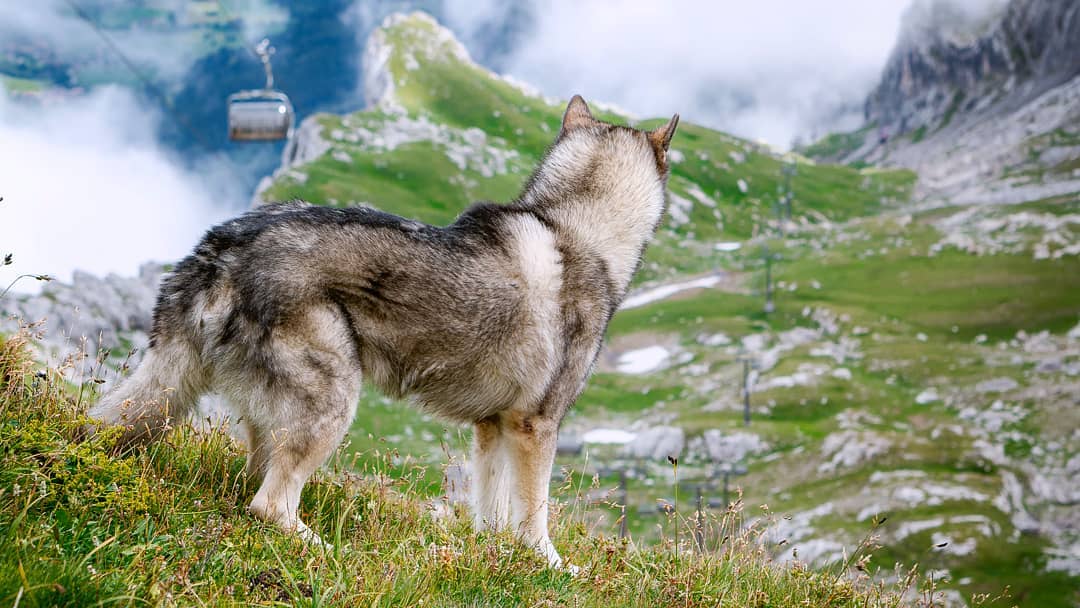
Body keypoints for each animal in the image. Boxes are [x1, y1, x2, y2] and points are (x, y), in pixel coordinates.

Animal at [90, 93, 673, 565]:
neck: (579, 231)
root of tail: (219, 249)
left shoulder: (492, 427)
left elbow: (491, 512)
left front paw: (492, 554)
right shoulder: (537, 426)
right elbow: (536, 518)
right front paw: (551, 566)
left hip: (259, 417)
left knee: (253, 483)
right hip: (334, 404)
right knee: (269, 504)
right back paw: (329, 549)